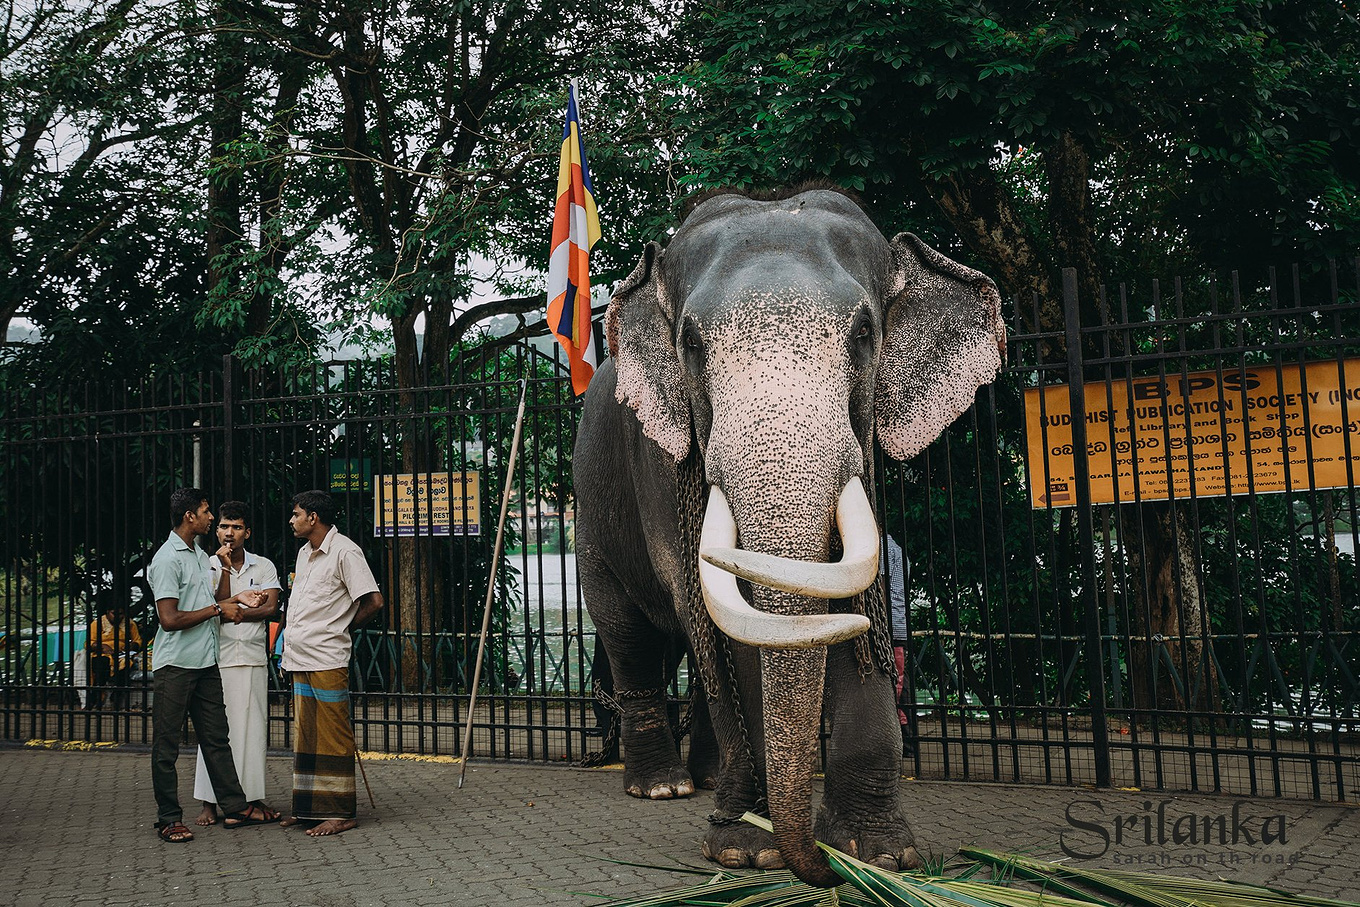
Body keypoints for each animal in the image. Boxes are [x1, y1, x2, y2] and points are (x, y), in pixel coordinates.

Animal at [568, 184, 1006, 886]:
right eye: (690, 344)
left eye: (865, 333)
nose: (819, 868)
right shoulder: (663, 468)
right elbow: (730, 618)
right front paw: (749, 849)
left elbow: (852, 604)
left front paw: (879, 855)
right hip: (592, 520)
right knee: (629, 633)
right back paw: (663, 788)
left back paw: (709, 782)